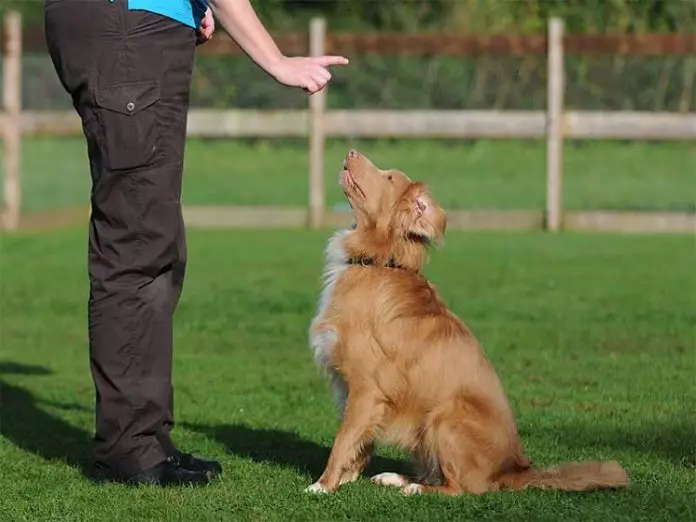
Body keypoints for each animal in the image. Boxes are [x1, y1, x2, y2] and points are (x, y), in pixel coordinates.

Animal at [306, 148, 632, 494]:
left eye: (389, 177)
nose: (351, 151)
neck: (380, 261)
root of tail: (513, 469)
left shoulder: (367, 389)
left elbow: (343, 440)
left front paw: (323, 485)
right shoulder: (355, 390)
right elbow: (360, 442)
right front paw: (346, 478)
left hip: (444, 418)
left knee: (457, 488)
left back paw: (414, 488)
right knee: (435, 473)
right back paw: (396, 477)